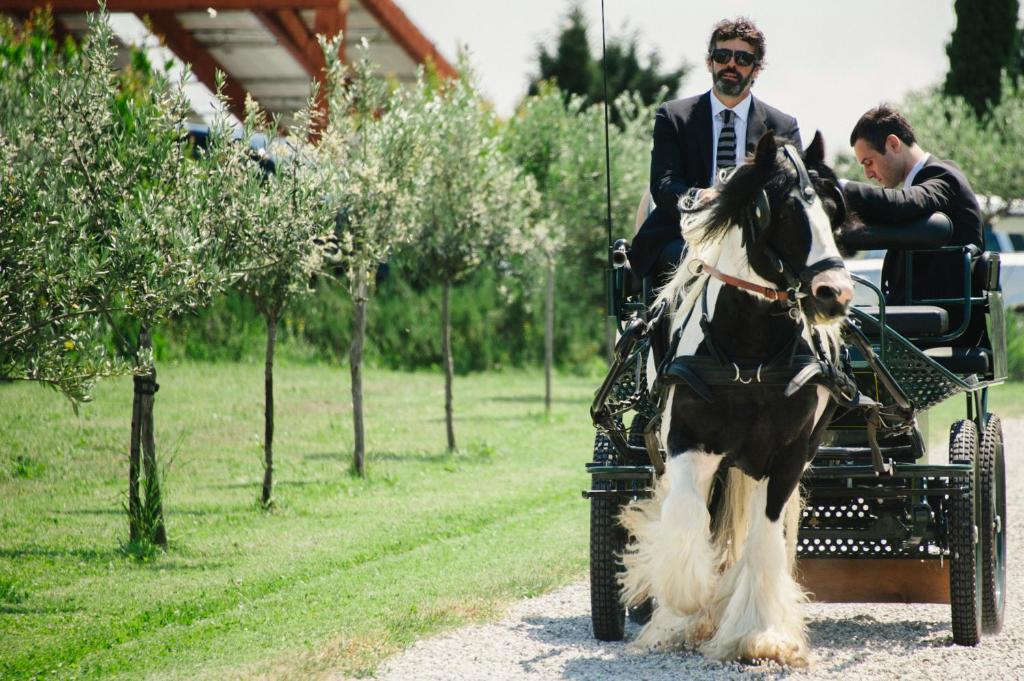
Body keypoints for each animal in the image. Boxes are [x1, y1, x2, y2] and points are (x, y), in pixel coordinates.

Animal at [618, 131, 851, 663]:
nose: (834, 293)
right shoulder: (685, 442)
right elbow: (685, 519)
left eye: (833, 210)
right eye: (781, 210)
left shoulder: (788, 457)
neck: (750, 353)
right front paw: (686, 606)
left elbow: (763, 542)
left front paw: (762, 634)